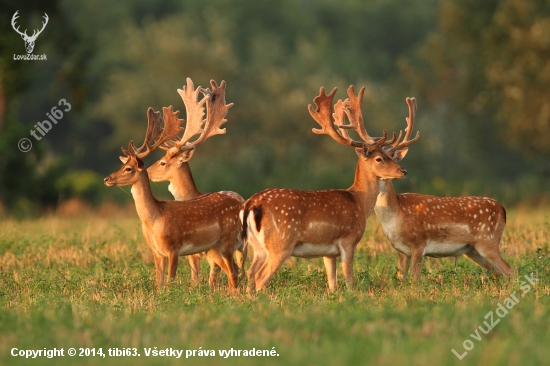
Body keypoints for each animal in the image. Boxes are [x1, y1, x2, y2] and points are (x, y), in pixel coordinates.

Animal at [104, 88, 240, 288]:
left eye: (128, 168)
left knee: (235, 270)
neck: (155, 220)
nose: (107, 179)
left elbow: (171, 280)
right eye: (121, 165)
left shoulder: (174, 248)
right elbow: (159, 283)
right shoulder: (156, 252)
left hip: (229, 242)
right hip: (215, 248)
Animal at [149, 78, 248, 284]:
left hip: (242, 244)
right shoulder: (193, 253)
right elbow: (197, 276)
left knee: (241, 266)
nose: (146, 171)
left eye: (162, 162)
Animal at [242, 86, 414, 294]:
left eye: (391, 156)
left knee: (250, 272)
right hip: (280, 243)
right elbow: (349, 279)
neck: (359, 202)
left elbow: (332, 282)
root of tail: (251, 204)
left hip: (256, 245)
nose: (403, 171)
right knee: (260, 277)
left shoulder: (328, 252)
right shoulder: (348, 240)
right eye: (379, 158)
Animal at [376, 97, 516, 280]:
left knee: (511, 271)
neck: (396, 214)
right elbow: (402, 278)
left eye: (389, 158)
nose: (402, 171)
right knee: (500, 273)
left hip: (488, 242)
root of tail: (503, 209)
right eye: (377, 158)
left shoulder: (419, 244)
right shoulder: (400, 250)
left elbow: (415, 280)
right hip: (473, 250)